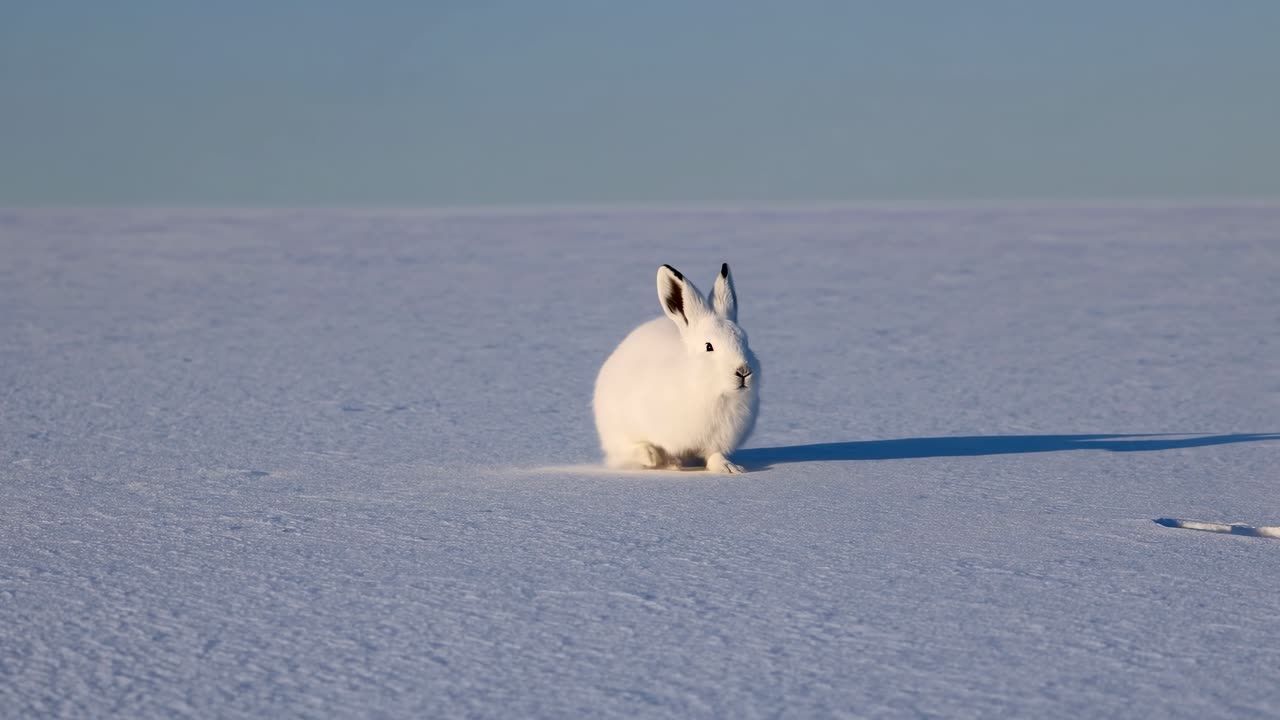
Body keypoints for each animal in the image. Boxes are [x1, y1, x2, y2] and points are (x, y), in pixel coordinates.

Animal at [593, 263, 760, 473]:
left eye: (746, 341)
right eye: (709, 347)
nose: (743, 371)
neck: (710, 391)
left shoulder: (718, 440)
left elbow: (715, 455)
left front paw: (729, 468)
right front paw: (661, 460)